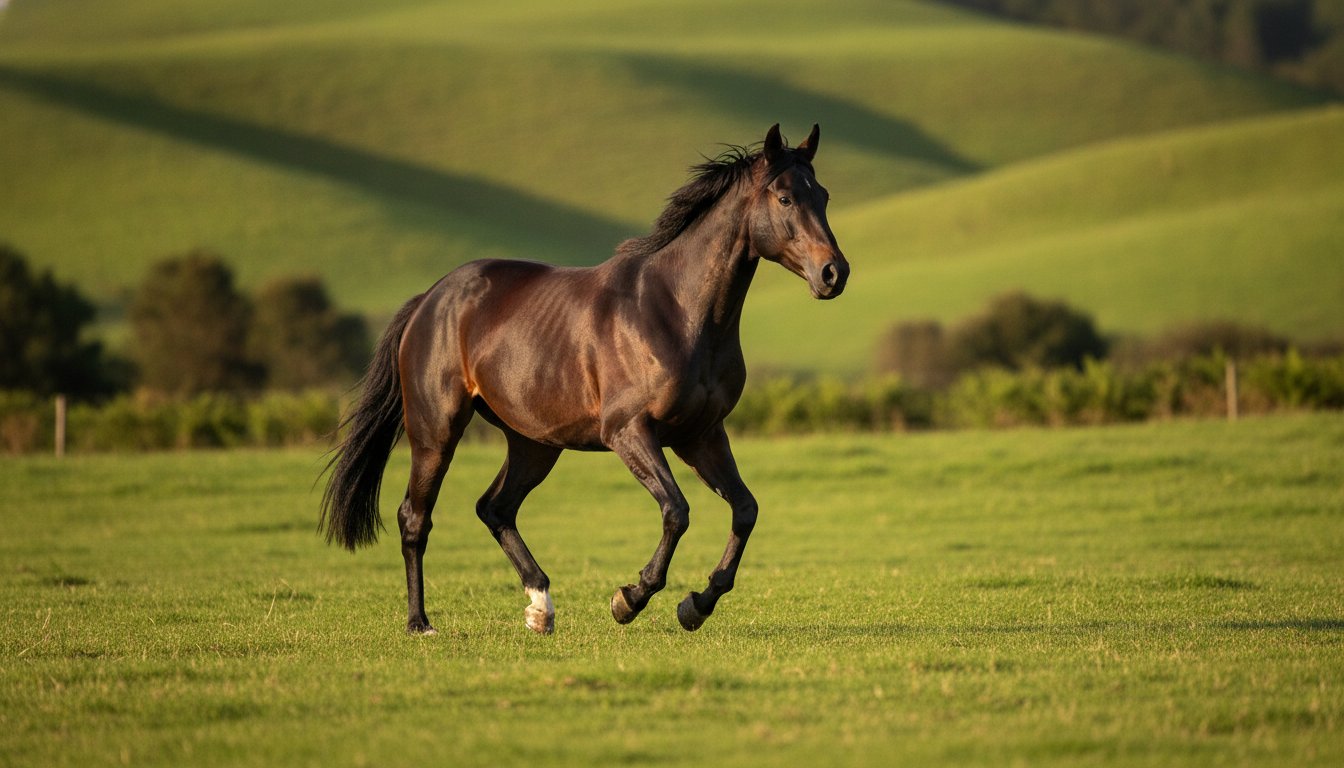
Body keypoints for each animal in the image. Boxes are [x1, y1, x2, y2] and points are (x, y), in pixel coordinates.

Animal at [320, 123, 849, 635]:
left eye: (822, 194)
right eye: (785, 198)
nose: (834, 273)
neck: (675, 311)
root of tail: (429, 300)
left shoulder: (701, 435)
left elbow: (745, 510)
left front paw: (695, 606)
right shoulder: (629, 432)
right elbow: (676, 512)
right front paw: (629, 599)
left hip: (533, 444)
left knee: (495, 508)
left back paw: (540, 608)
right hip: (436, 432)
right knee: (416, 518)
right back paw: (420, 623)